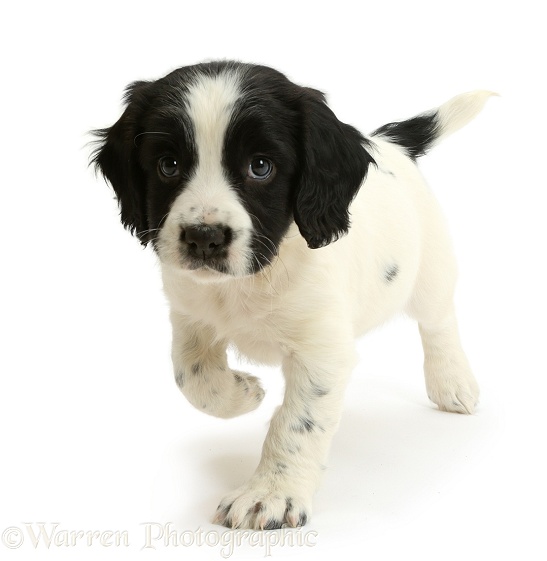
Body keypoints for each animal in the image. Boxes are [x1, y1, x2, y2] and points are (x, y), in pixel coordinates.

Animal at [92, 61, 494, 528]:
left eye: (260, 166)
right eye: (168, 165)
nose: (203, 238)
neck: (250, 281)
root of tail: (390, 143)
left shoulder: (321, 351)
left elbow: (296, 422)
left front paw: (271, 494)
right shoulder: (190, 315)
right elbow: (192, 376)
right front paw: (243, 392)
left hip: (428, 270)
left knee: (439, 321)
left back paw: (452, 382)